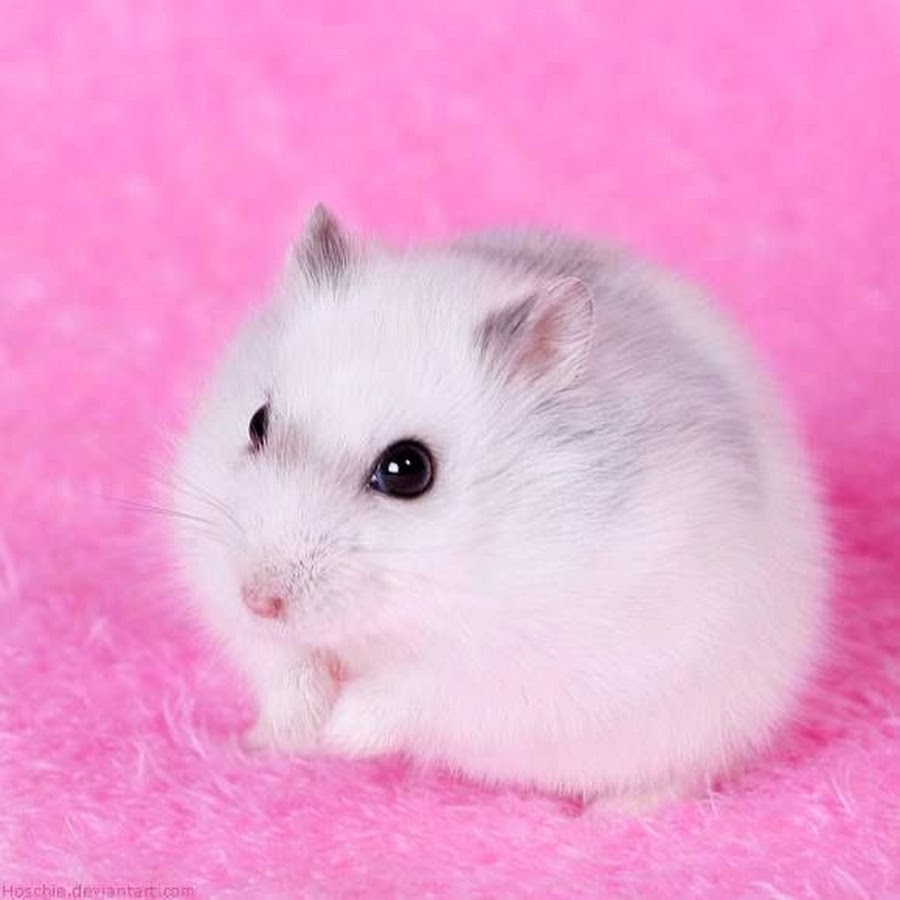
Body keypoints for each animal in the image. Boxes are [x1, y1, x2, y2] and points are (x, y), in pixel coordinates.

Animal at [172, 205, 828, 813]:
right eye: (257, 423)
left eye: (408, 470)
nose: (259, 599)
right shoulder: (220, 583)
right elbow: (284, 663)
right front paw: (296, 731)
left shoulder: (515, 666)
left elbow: (412, 692)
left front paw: (337, 735)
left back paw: (614, 815)